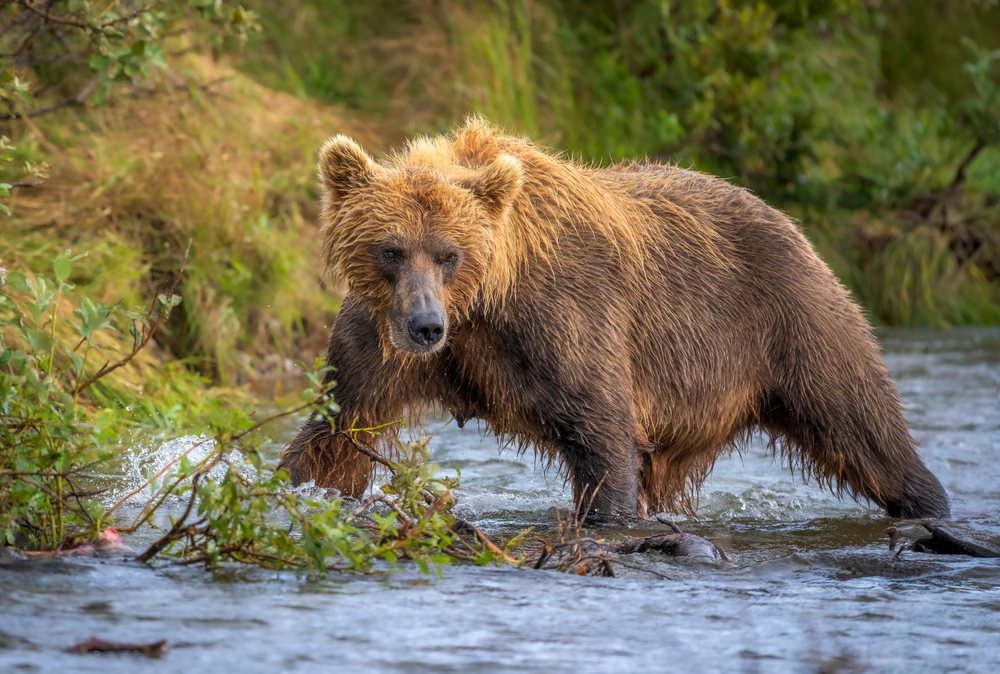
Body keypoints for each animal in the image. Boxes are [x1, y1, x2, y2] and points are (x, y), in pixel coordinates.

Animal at [279, 118, 950, 522]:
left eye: (450, 254)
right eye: (391, 250)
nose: (425, 327)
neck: (482, 308)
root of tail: (787, 219)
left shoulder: (565, 318)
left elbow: (600, 429)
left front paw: (608, 520)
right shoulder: (380, 342)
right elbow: (337, 429)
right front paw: (293, 485)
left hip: (792, 317)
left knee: (862, 421)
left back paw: (928, 506)